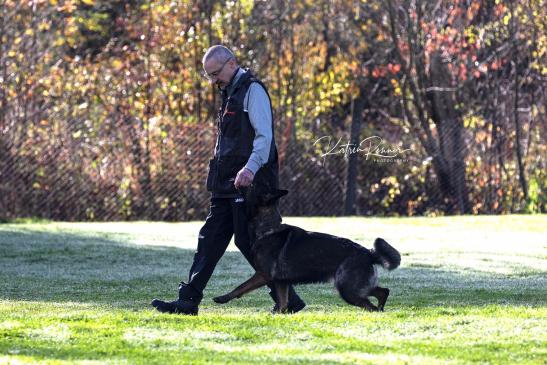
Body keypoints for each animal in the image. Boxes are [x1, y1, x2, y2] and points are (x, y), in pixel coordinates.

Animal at [214, 188, 402, 312]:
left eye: (252, 187)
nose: (237, 182)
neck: (268, 228)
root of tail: (369, 253)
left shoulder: (263, 274)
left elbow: (241, 287)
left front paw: (222, 298)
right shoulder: (281, 282)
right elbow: (282, 305)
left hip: (347, 289)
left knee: (371, 304)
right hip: (356, 287)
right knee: (383, 292)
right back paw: (381, 308)